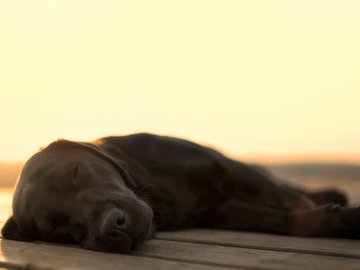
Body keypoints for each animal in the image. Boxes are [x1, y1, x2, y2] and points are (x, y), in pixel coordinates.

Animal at [1, 133, 358, 253]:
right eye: (59, 230)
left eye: (75, 172)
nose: (112, 228)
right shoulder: (223, 210)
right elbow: (278, 219)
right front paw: (343, 221)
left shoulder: (223, 167)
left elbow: (286, 203)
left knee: (288, 188)